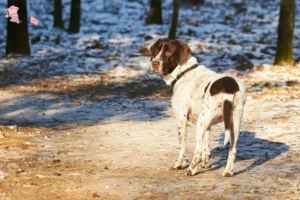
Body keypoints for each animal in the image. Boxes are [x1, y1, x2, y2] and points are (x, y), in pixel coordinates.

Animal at [149, 38, 246, 176]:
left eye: (168, 52)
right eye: (157, 50)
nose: (154, 63)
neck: (183, 72)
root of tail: (229, 86)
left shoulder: (181, 119)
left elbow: (182, 147)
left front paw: (180, 164)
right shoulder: (208, 125)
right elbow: (207, 147)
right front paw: (206, 164)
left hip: (201, 124)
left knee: (197, 148)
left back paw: (191, 170)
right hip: (233, 124)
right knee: (232, 150)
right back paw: (228, 171)